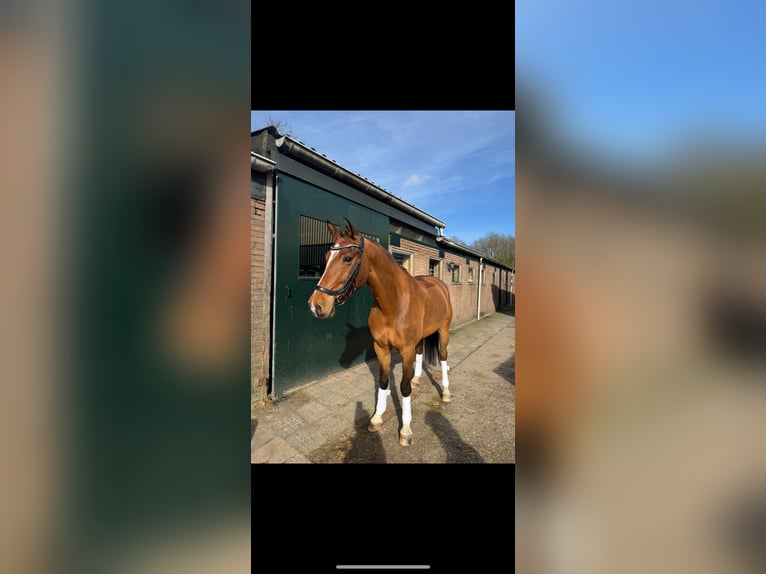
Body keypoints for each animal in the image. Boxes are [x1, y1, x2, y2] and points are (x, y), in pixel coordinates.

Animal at [307, 218, 454, 447]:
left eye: (347, 258)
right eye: (326, 257)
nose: (317, 305)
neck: (394, 304)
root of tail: (439, 283)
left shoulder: (406, 350)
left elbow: (403, 387)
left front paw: (405, 430)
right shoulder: (381, 348)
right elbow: (383, 382)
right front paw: (376, 418)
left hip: (443, 330)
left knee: (444, 357)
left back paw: (446, 392)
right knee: (421, 353)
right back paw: (417, 379)